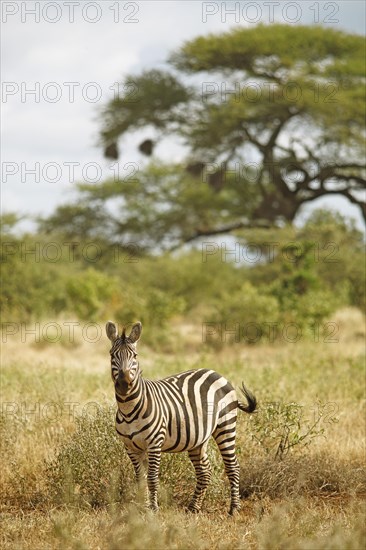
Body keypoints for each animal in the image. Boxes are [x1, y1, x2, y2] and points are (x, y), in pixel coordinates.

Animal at [104, 322, 256, 516]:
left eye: (135, 356)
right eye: (112, 355)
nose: (124, 384)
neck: (129, 409)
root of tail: (215, 372)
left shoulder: (155, 443)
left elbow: (151, 478)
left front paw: (153, 509)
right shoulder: (130, 447)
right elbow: (140, 479)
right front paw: (141, 509)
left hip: (226, 426)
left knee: (232, 467)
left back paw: (234, 509)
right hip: (198, 439)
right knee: (205, 471)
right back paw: (193, 507)